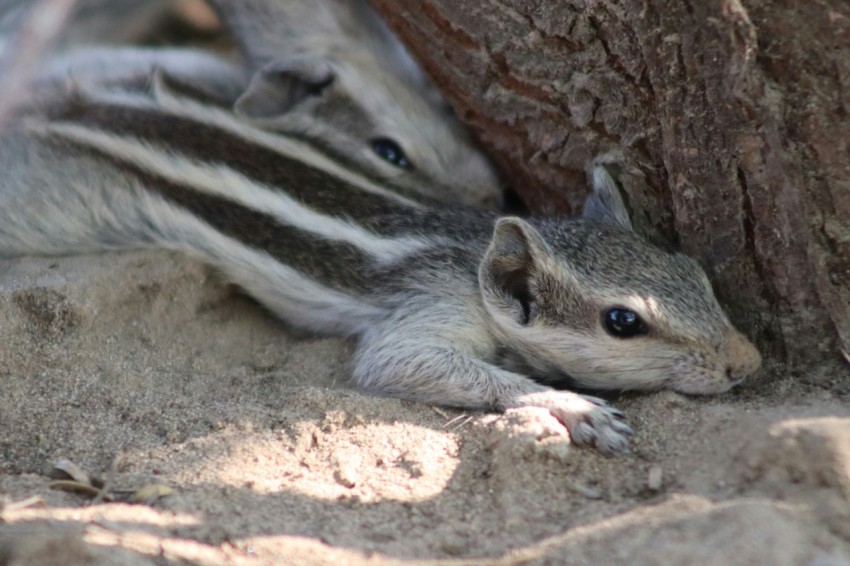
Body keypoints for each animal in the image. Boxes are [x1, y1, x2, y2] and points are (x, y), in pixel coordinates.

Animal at [0, 74, 762, 453]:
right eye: (622, 322)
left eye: (695, 273)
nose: (747, 363)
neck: (471, 252)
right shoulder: (431, 306)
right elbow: (398, 363)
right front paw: (572, 406)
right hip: (52, 210)